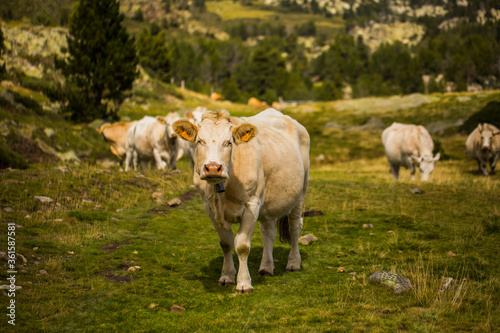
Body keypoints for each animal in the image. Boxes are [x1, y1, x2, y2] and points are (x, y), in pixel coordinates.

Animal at [174, 107, 310, 292]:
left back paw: (294, 263)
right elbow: (226, 243)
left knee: (295, 227)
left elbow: (242, 246)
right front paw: (226, 276)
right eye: (200, 141)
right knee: (268, 231)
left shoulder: (252, 204)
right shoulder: (209, 207)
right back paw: (266, 267)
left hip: (300, 192)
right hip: (267, 202)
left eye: (229, 142)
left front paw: (244, 283)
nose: (213, 168)